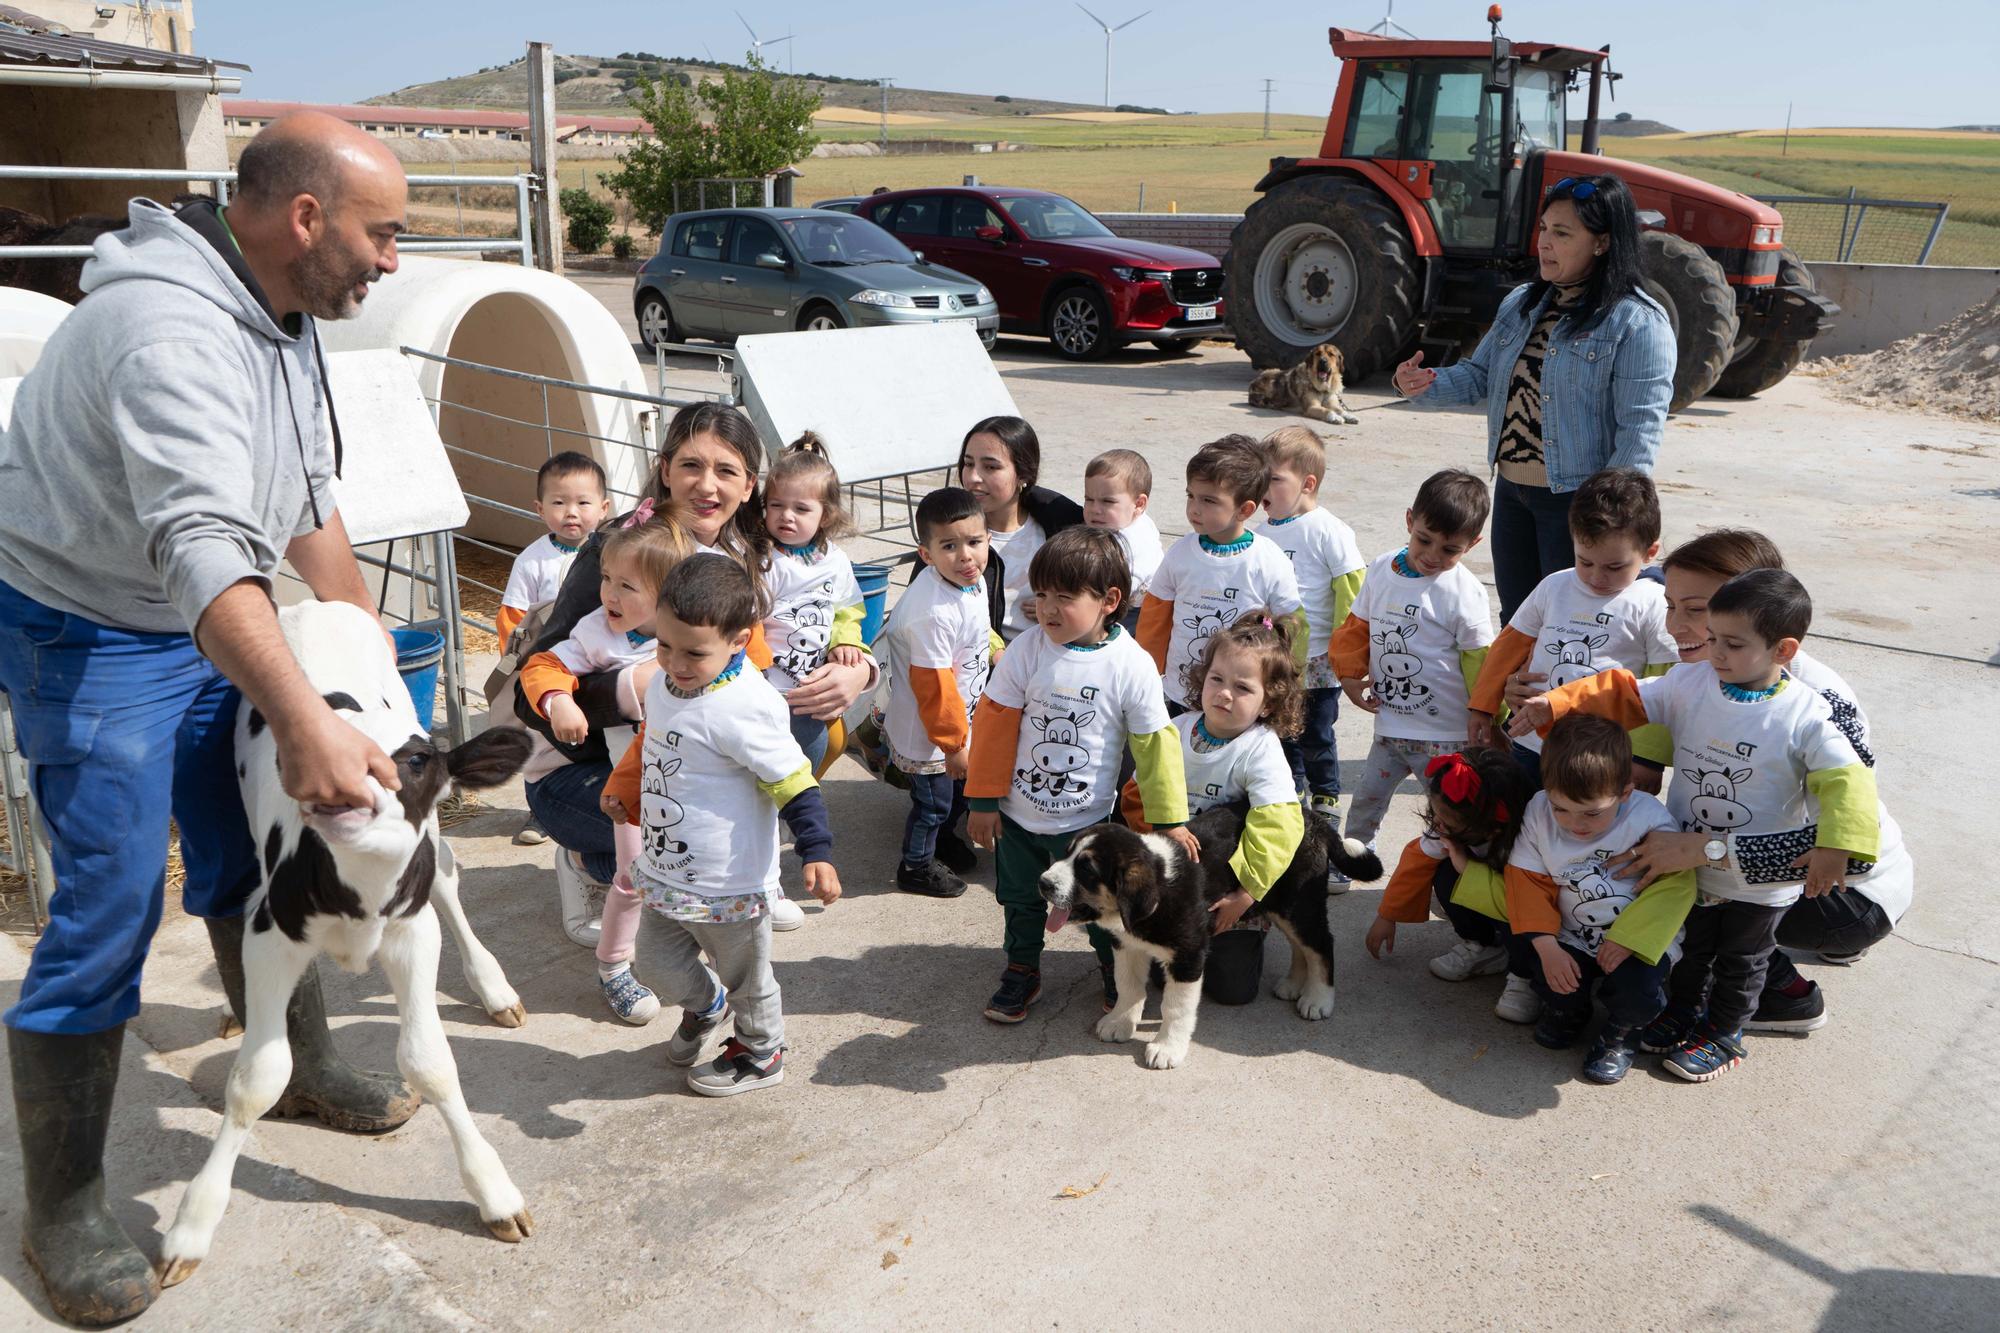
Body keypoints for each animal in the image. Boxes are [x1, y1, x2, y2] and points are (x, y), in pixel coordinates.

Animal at [158, 600, 532, 1280]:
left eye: (416, 762)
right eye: (322, 748)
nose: (336, 790)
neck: (362, 888)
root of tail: (313, 603)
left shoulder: (412, 933)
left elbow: (429, 1063)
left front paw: (494, 1192)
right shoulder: (270, 936)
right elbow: (258, 1078)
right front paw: (193, 1224)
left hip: (434, 848)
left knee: (449, 879)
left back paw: (495, 989)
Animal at [1040, 800, 1384, 1072]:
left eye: (1087, 869)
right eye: (1066, 855)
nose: (1043, 883)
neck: (1160, 886)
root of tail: (1313, 817)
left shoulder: (1189, 954)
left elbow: (1175, 1007)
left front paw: (1167, 1048)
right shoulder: (1127, 945)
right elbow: (1128, 987)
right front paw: (1119, 1022)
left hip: (1300, 903)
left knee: (1320, 945)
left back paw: (1318, 1000)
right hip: (1280, 905)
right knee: (1300, 947)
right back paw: (1293, 985)